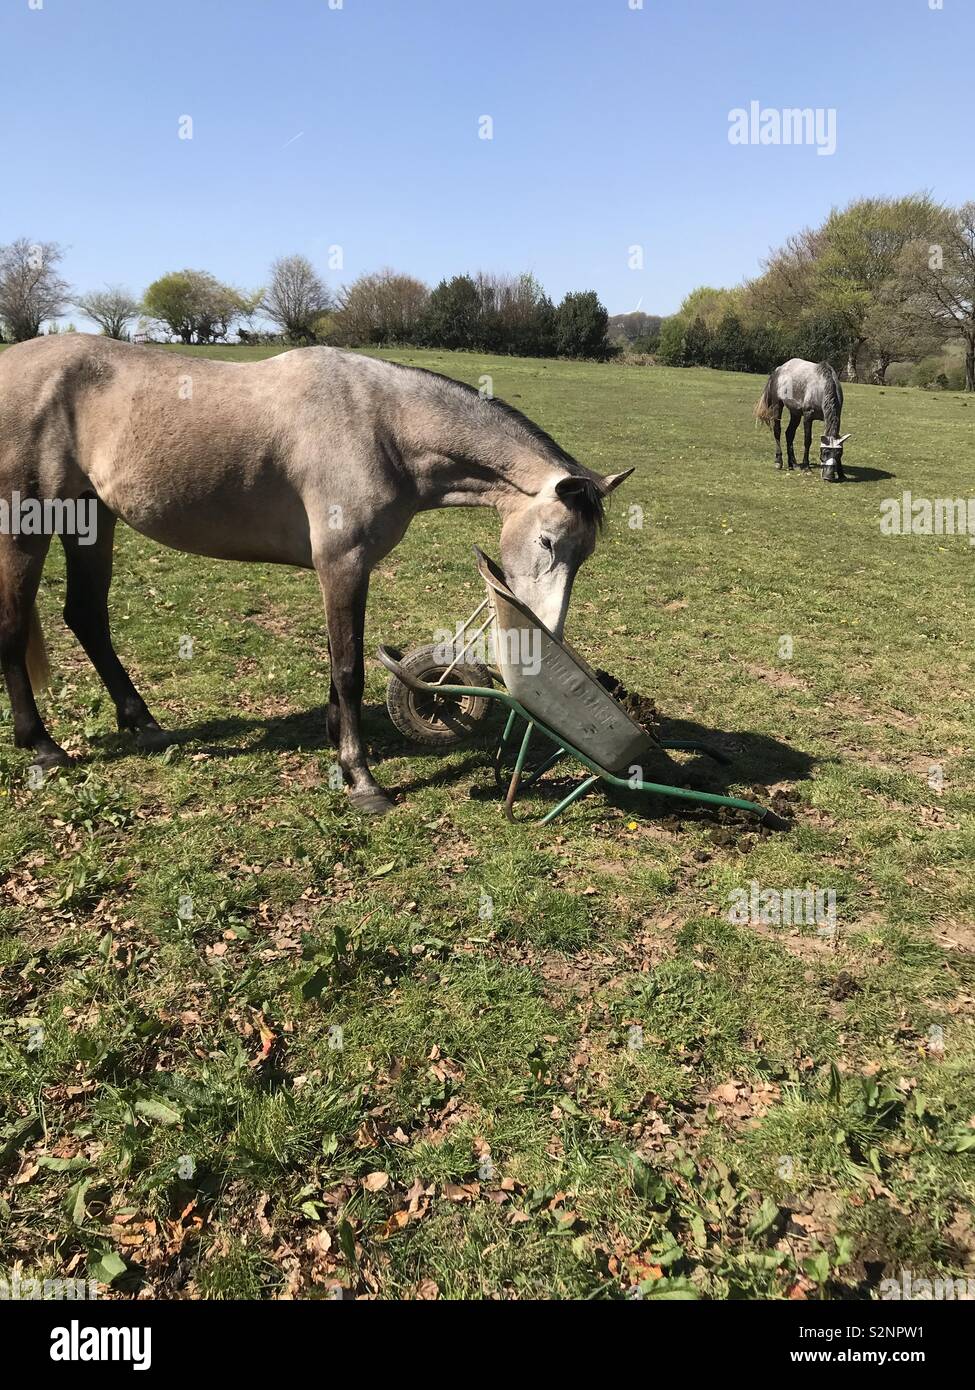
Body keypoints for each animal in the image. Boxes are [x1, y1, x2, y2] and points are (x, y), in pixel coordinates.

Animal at [0, 335, 632, 813]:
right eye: (547, 542)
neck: (382, 426)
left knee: (86, 617)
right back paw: (43, 747)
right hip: (26, 528)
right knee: (14, 627)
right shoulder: (342, 563)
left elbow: (336, 662)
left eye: (584, 554)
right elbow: (349, 668)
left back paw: (143, 724)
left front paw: (338, 745)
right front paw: (362, 780)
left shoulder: (348, 569)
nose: (544, 637)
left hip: (90, 519)